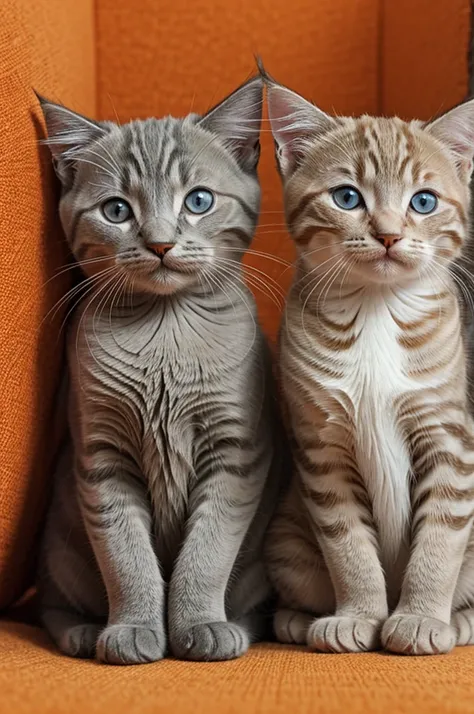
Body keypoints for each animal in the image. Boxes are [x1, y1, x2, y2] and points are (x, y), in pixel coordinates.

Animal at [39, 78, 282, 660]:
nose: (161, 242)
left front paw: (199, 623)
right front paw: (133, 627)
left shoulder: (236, 455)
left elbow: (207, 552)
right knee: (52, 605)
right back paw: (83, 631)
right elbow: (125, 556)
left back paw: (239, 624)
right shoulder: (101, 460)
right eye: (116, 210)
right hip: (60, 549)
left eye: (198, 201)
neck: (166, 331)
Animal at [264, 75, 474, 652]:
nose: (388, 233)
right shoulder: (322, 448)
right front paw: (359, 613)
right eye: (347, 197)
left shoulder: (448, 437)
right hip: (286, 533)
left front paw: (422, 616)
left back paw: (459, 621)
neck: (377, 311)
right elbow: (347, 543)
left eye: (423, 201)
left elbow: (441, 535)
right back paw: (297, 619)